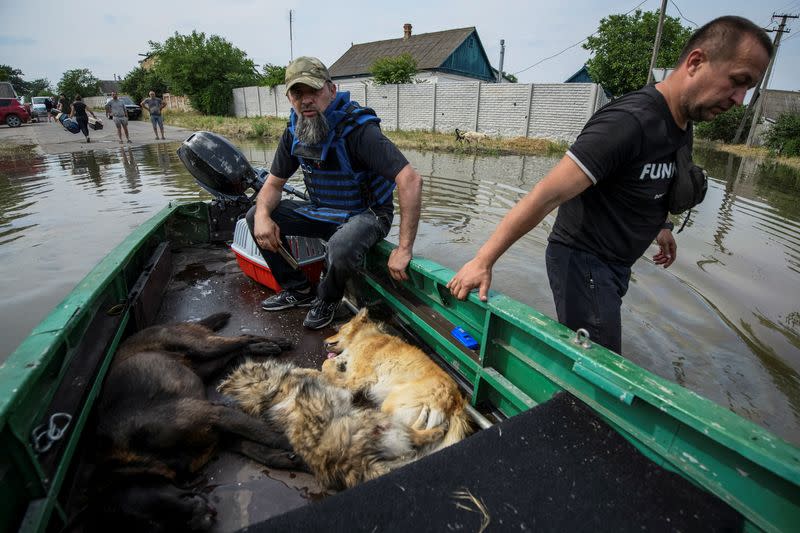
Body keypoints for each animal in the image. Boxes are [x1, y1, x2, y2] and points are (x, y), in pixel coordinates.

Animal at [88, 312, 300, 532]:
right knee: (234, 350)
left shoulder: (214, 413)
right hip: (203, 366)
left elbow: (265, 434)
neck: (144, 454)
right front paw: (286, 459)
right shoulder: (219, 434)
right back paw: (263, 347)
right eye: (154, 526)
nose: (205, 520)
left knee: (242, 338)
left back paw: (273, 343)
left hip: (201, 346)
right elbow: (256, 449)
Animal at [322, 308, 472, 454]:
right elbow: (330, 362)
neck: (365, 337)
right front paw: (338, 363)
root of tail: (456, 403)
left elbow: (327, 367)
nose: (323, 342)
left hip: (392, 403)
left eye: (341, 329)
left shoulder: (359, 376)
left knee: (409, 436)